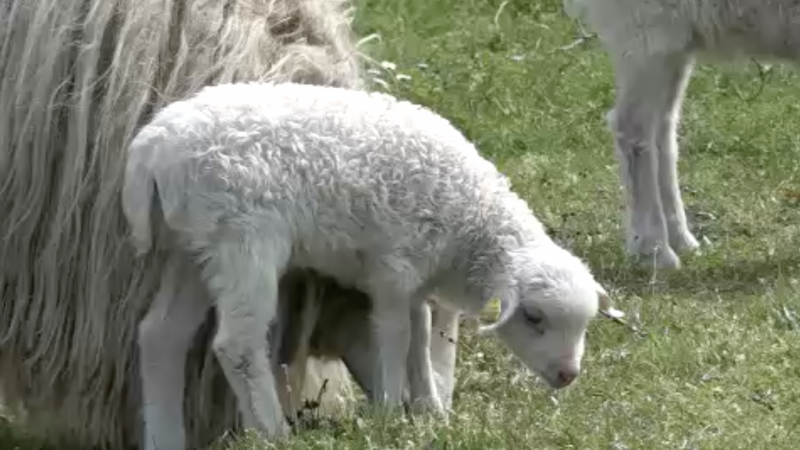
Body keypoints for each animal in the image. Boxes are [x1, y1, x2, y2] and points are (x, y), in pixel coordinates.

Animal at [120, 81, 612, 446]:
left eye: (585, 326)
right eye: (533, 317)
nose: (568, 375)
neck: (469, 217)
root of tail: (152, 147)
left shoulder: (415, 280)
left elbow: (420, 334)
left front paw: (430, 411)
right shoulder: (394, 268)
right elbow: (396, 336)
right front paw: (391, 414)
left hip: (189, 247)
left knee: (160, 335)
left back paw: (164, 438)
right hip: (242, 241)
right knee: (236, 345)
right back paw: (275, 433)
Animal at [564, 0, 800, 268]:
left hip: (676, 40)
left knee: (663, 127)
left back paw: (682, 241)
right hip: (647, 29)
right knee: (632, 126)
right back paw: (655, 251)